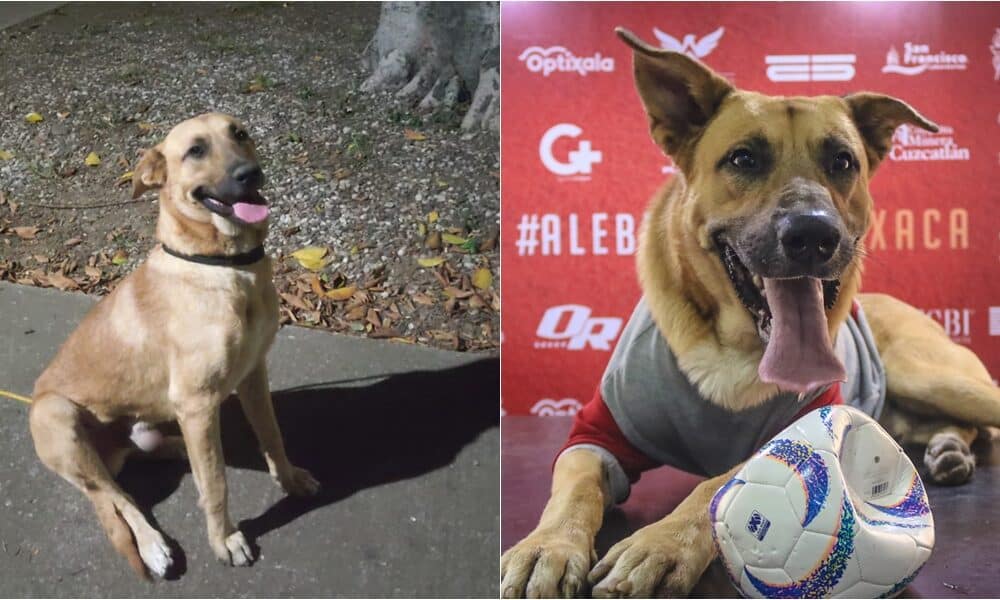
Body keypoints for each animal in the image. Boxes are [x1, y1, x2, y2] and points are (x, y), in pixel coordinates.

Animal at [500, 29, 1000, 600]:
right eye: (743, 160)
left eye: (843, 162)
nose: (813, 235)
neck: (733, 350)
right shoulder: (597, 434)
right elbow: (574, 489)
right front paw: (548, 547)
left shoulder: (806, 422)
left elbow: (719, 484)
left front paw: (661, 545)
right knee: (952, 426)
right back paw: (948, 449)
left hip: (933, 377)